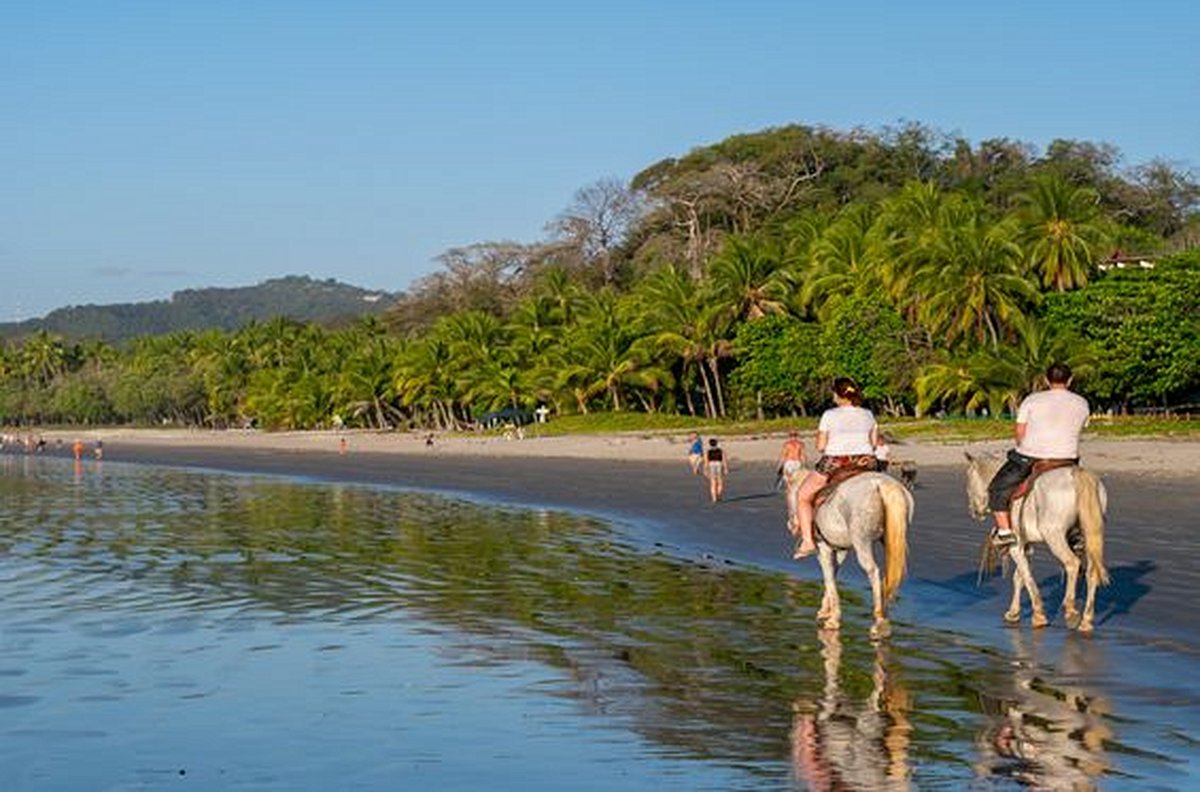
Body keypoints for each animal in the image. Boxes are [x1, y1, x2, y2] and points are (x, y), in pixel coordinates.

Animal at [811, 472, 912, 638]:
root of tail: (881, 483)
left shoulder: (823, 549)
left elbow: (828, 577)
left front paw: (833, 619)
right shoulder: (841, 550)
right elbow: (833, 574)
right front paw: (825, 611)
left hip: (862, 541)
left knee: (873, 571)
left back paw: (879, 621)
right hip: (892, 539)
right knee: (889, 573)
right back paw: (884, 617)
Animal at [964, 453, 1104, 633]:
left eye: (968, 481)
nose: (974, 511)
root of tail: (1077, 474)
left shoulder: (1015, 546)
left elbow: (1026, 575)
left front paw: (1038, 614)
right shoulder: (1027, 546)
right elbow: (1019, 577)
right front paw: (1013, 612)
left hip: (1054, 537)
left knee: (1072, 564)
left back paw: (1071, 612)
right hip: (1090, 538)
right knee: (1092, 571)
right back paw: (1086, 620)